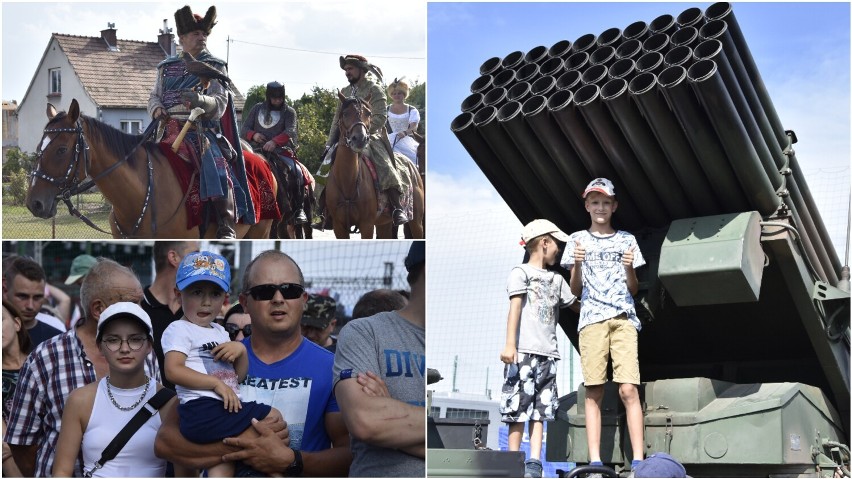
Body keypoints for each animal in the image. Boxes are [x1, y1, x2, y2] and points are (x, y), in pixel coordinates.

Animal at [25, 99, 272, 240]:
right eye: (39, 147)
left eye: (61, 149)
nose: (34, 203)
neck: (140, 195)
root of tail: (261, 158)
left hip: (261, 232)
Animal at [324, 92, 424, 240]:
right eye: (345, 113)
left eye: (368, 113)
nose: (360, 139)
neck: (348, 181)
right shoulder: (339, 227)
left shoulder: (367, 225)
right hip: (384, 224)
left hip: (416, 221)